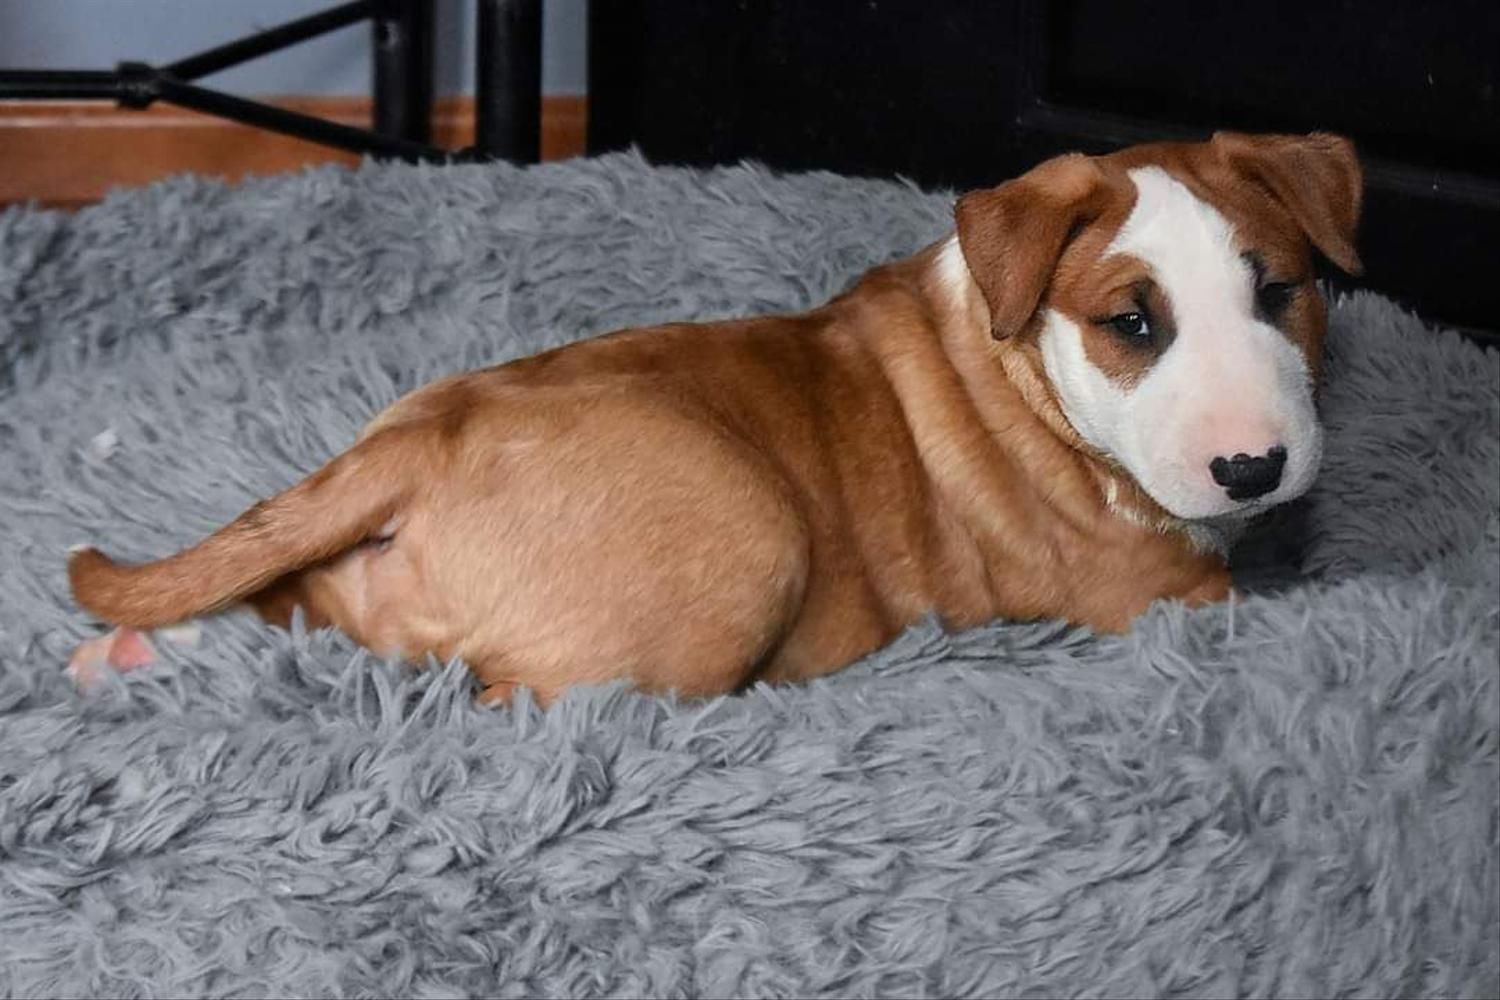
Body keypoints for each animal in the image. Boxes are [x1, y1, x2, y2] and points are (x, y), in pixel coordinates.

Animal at [67, 132, 1362, 707]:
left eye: (1280, 292)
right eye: (1131, 324)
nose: (1255, 468)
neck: (1020, 364)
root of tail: (413, 444)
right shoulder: (1155, 587)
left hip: (365, 572)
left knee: (303, 605)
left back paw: (136, 650)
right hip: (742, 542)